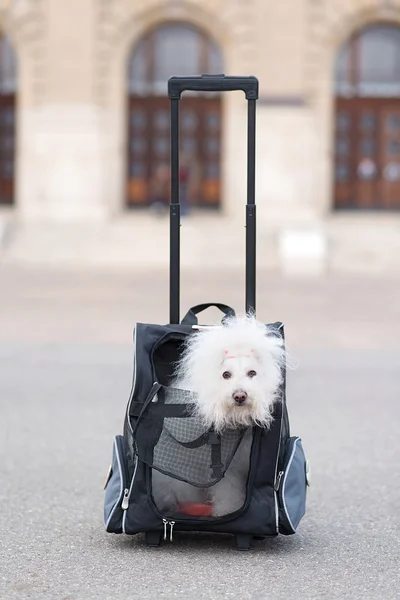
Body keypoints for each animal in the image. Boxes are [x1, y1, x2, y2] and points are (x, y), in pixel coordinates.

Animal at [152, 316, 286, 516]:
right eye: (226, 375)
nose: (240, 395)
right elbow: (228, 493)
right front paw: (228, 513)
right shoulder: (225, 472)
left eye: (252, 373)